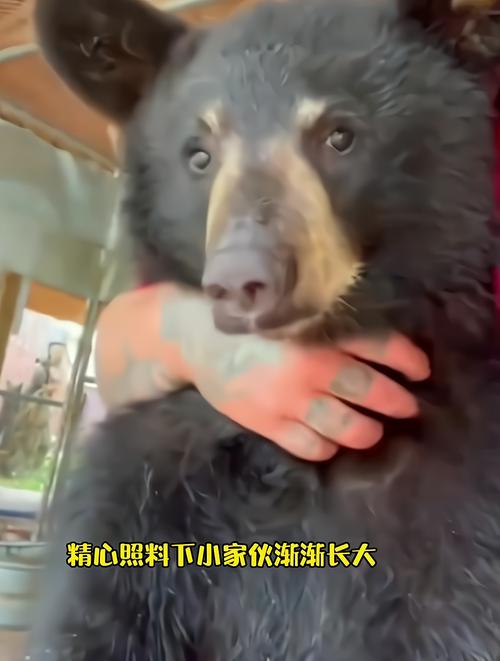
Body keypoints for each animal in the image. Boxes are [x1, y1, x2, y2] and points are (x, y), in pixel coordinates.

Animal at [28, 0, 500, 659]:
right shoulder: (142, 505)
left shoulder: (459, 511)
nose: (244, 278)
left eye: (339, 134)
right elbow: (91, 622)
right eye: (198, 154)